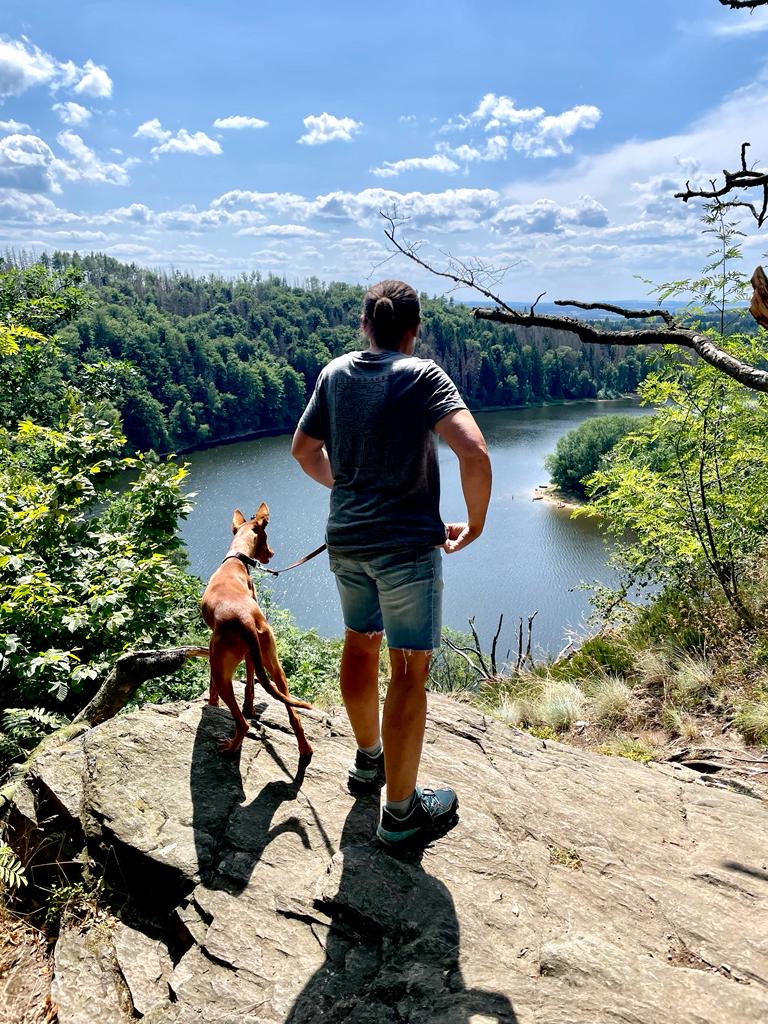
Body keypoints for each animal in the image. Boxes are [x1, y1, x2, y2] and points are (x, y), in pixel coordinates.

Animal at [200, 503, 313, 760]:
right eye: (266, 539)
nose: (272, 554)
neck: (235, 561)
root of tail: (245, 619)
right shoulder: (253, 655)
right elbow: (251, 681)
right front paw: (250, 706)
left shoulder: (214, 654)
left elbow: (212, 690)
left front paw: (213, 705)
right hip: (274, 663)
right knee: (293, 714)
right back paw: (305, 749)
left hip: (222, 672)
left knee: (242, 724)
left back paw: (230, 747)